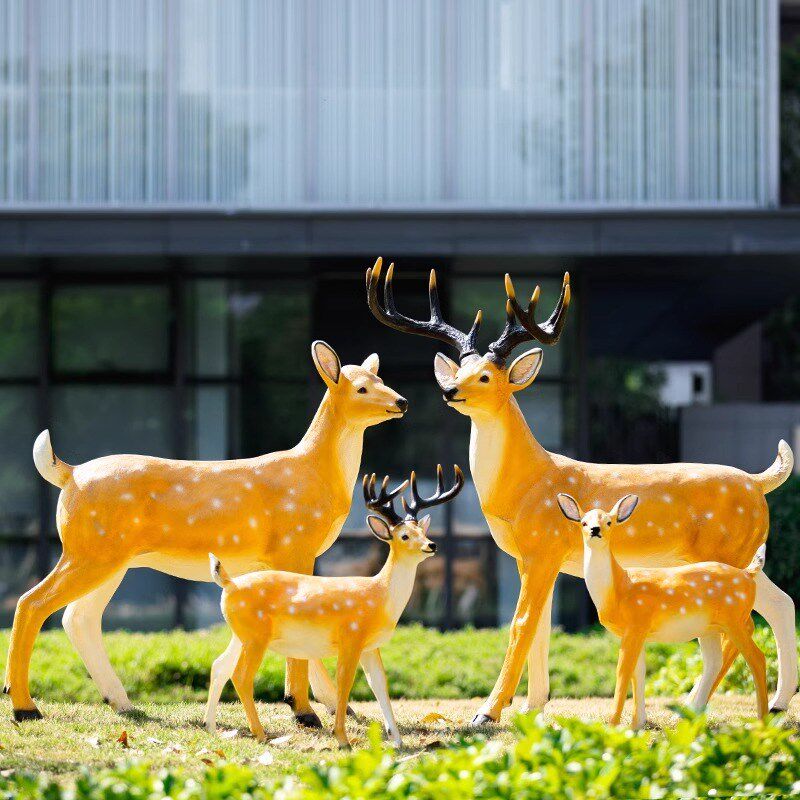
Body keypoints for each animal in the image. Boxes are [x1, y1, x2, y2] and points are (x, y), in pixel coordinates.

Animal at [6, 341, 408, 724]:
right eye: (360, 388)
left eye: (379, 379)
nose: (401, 401)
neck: (314, 473)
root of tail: (69, 474)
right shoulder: (294, 545)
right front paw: (303, 710)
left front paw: (335, 707)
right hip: (89, 549)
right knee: (32, 603)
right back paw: (25, 707)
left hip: (109, 557)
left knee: (78, 617)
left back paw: (121, 703)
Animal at [206, 464, 464, 748]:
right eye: (405, 535)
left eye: (423, 532)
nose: (431, 545)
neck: (380, 596)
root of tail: (229, 583)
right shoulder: (351, 636)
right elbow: (345, 684)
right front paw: (342, 739)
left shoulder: (370, 646)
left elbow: (380, 686)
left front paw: (397, 741)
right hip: (255, 636)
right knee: (241, 675)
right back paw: (260, 733)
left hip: (240, 634)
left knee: (219, 666)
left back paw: (211, 727)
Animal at [557, 492, 768, 729]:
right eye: (584, 522)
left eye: (609, 522)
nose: (595, 529)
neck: (619, 589)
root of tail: (748, 574)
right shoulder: (637, 633)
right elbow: (638, 673)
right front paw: (636, 725)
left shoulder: (636, 624)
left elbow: (622, 671)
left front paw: (612, 725)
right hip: (709, 628)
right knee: (714, 662)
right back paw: (694, 720)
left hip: (734, 619)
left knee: (757, 658)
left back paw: (762, 721)